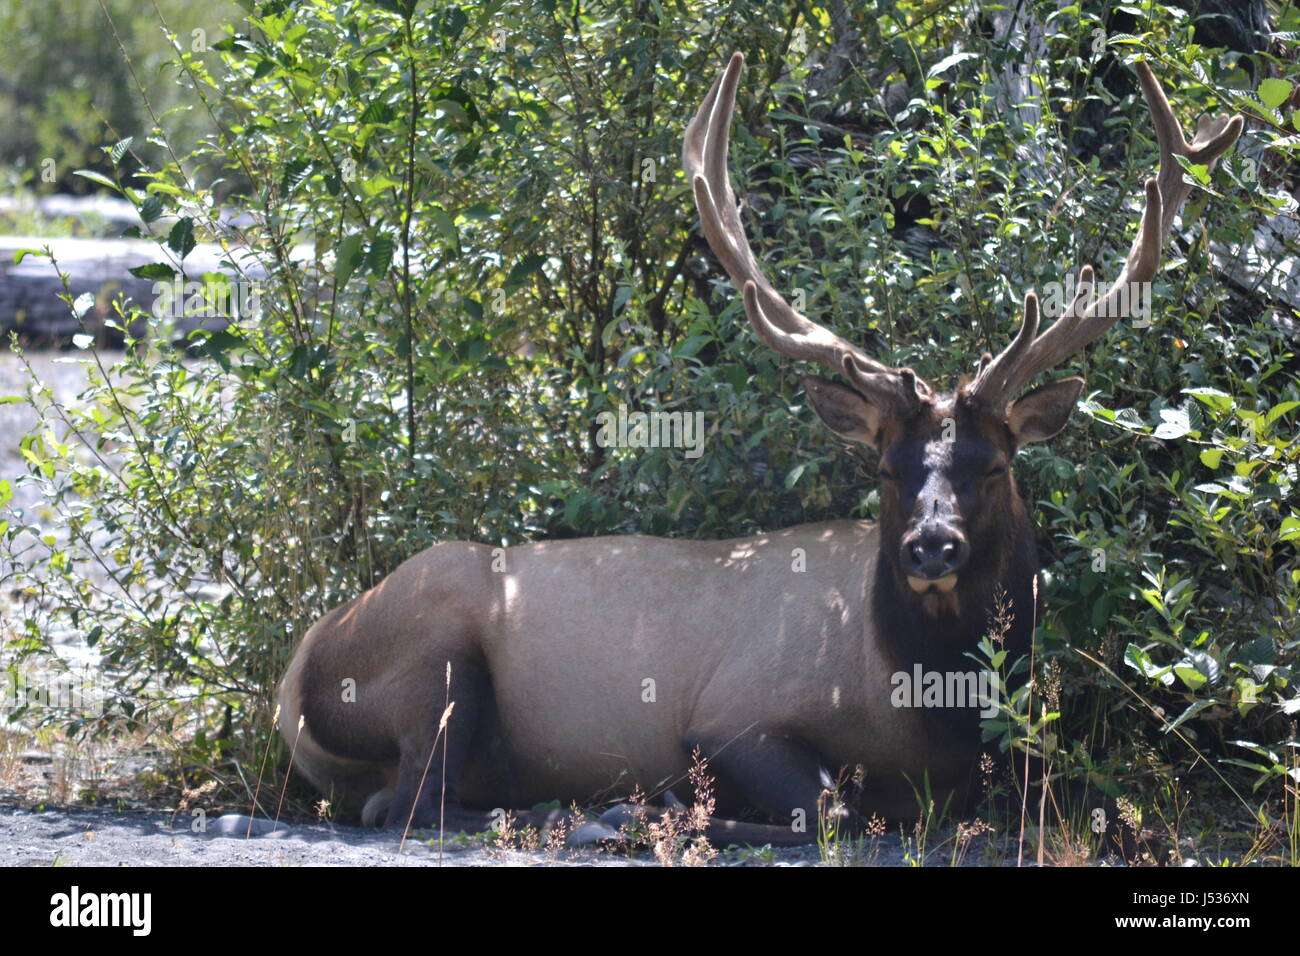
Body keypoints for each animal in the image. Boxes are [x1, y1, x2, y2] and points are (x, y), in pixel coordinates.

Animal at [276, 52, 1241, 846]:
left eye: (994, 465)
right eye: (884, 469)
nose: (931, 546)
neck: (925, 700)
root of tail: (294, 677)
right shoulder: (729, 713)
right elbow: (830, 807)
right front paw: (660, 808)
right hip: (432, 657)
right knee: (407, 803)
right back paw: (590, 813)